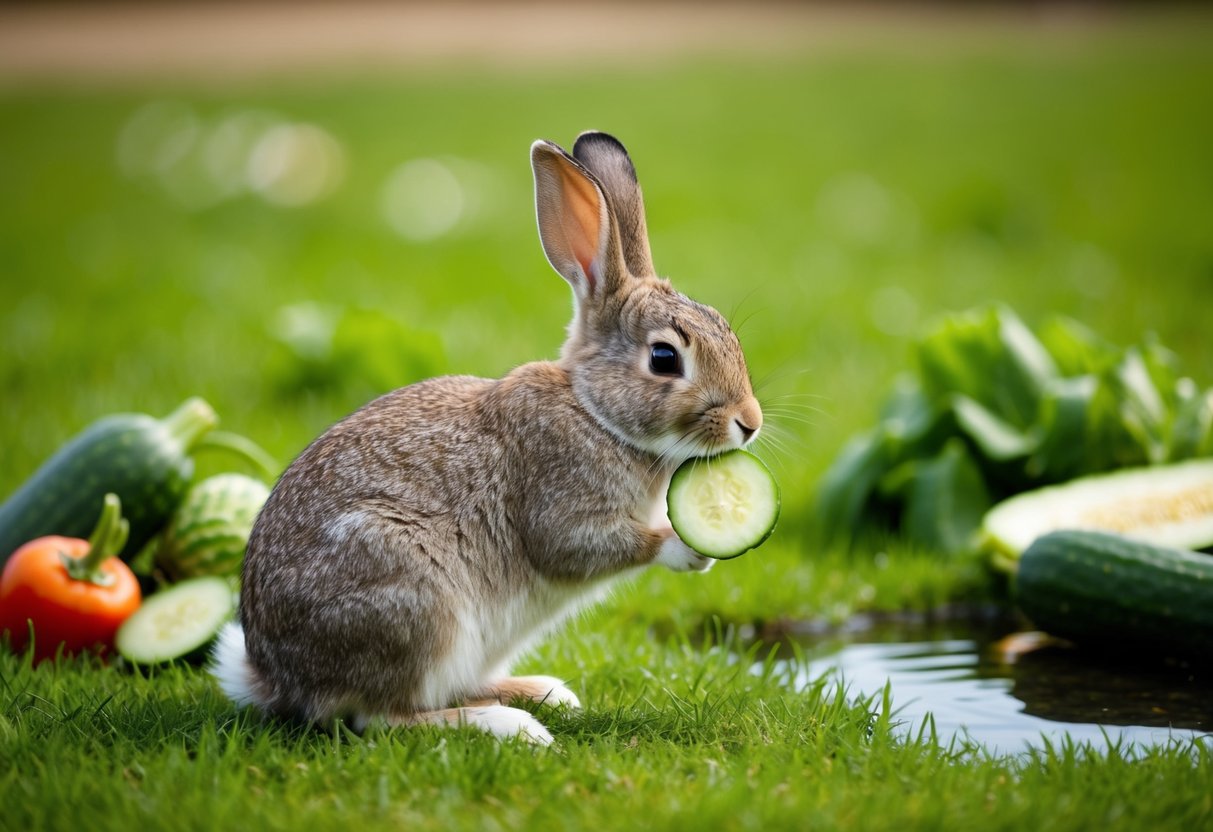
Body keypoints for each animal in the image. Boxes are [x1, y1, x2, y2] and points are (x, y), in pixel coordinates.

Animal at [211, 131, 764, 744]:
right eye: (665, 359)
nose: (750, 421)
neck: (594, 412)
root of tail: (276, 677)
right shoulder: (560, 503)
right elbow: (583, 545)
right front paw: (690, 549)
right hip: (414, 603)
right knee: (378, 716)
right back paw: (510, 724)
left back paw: (541, 692)